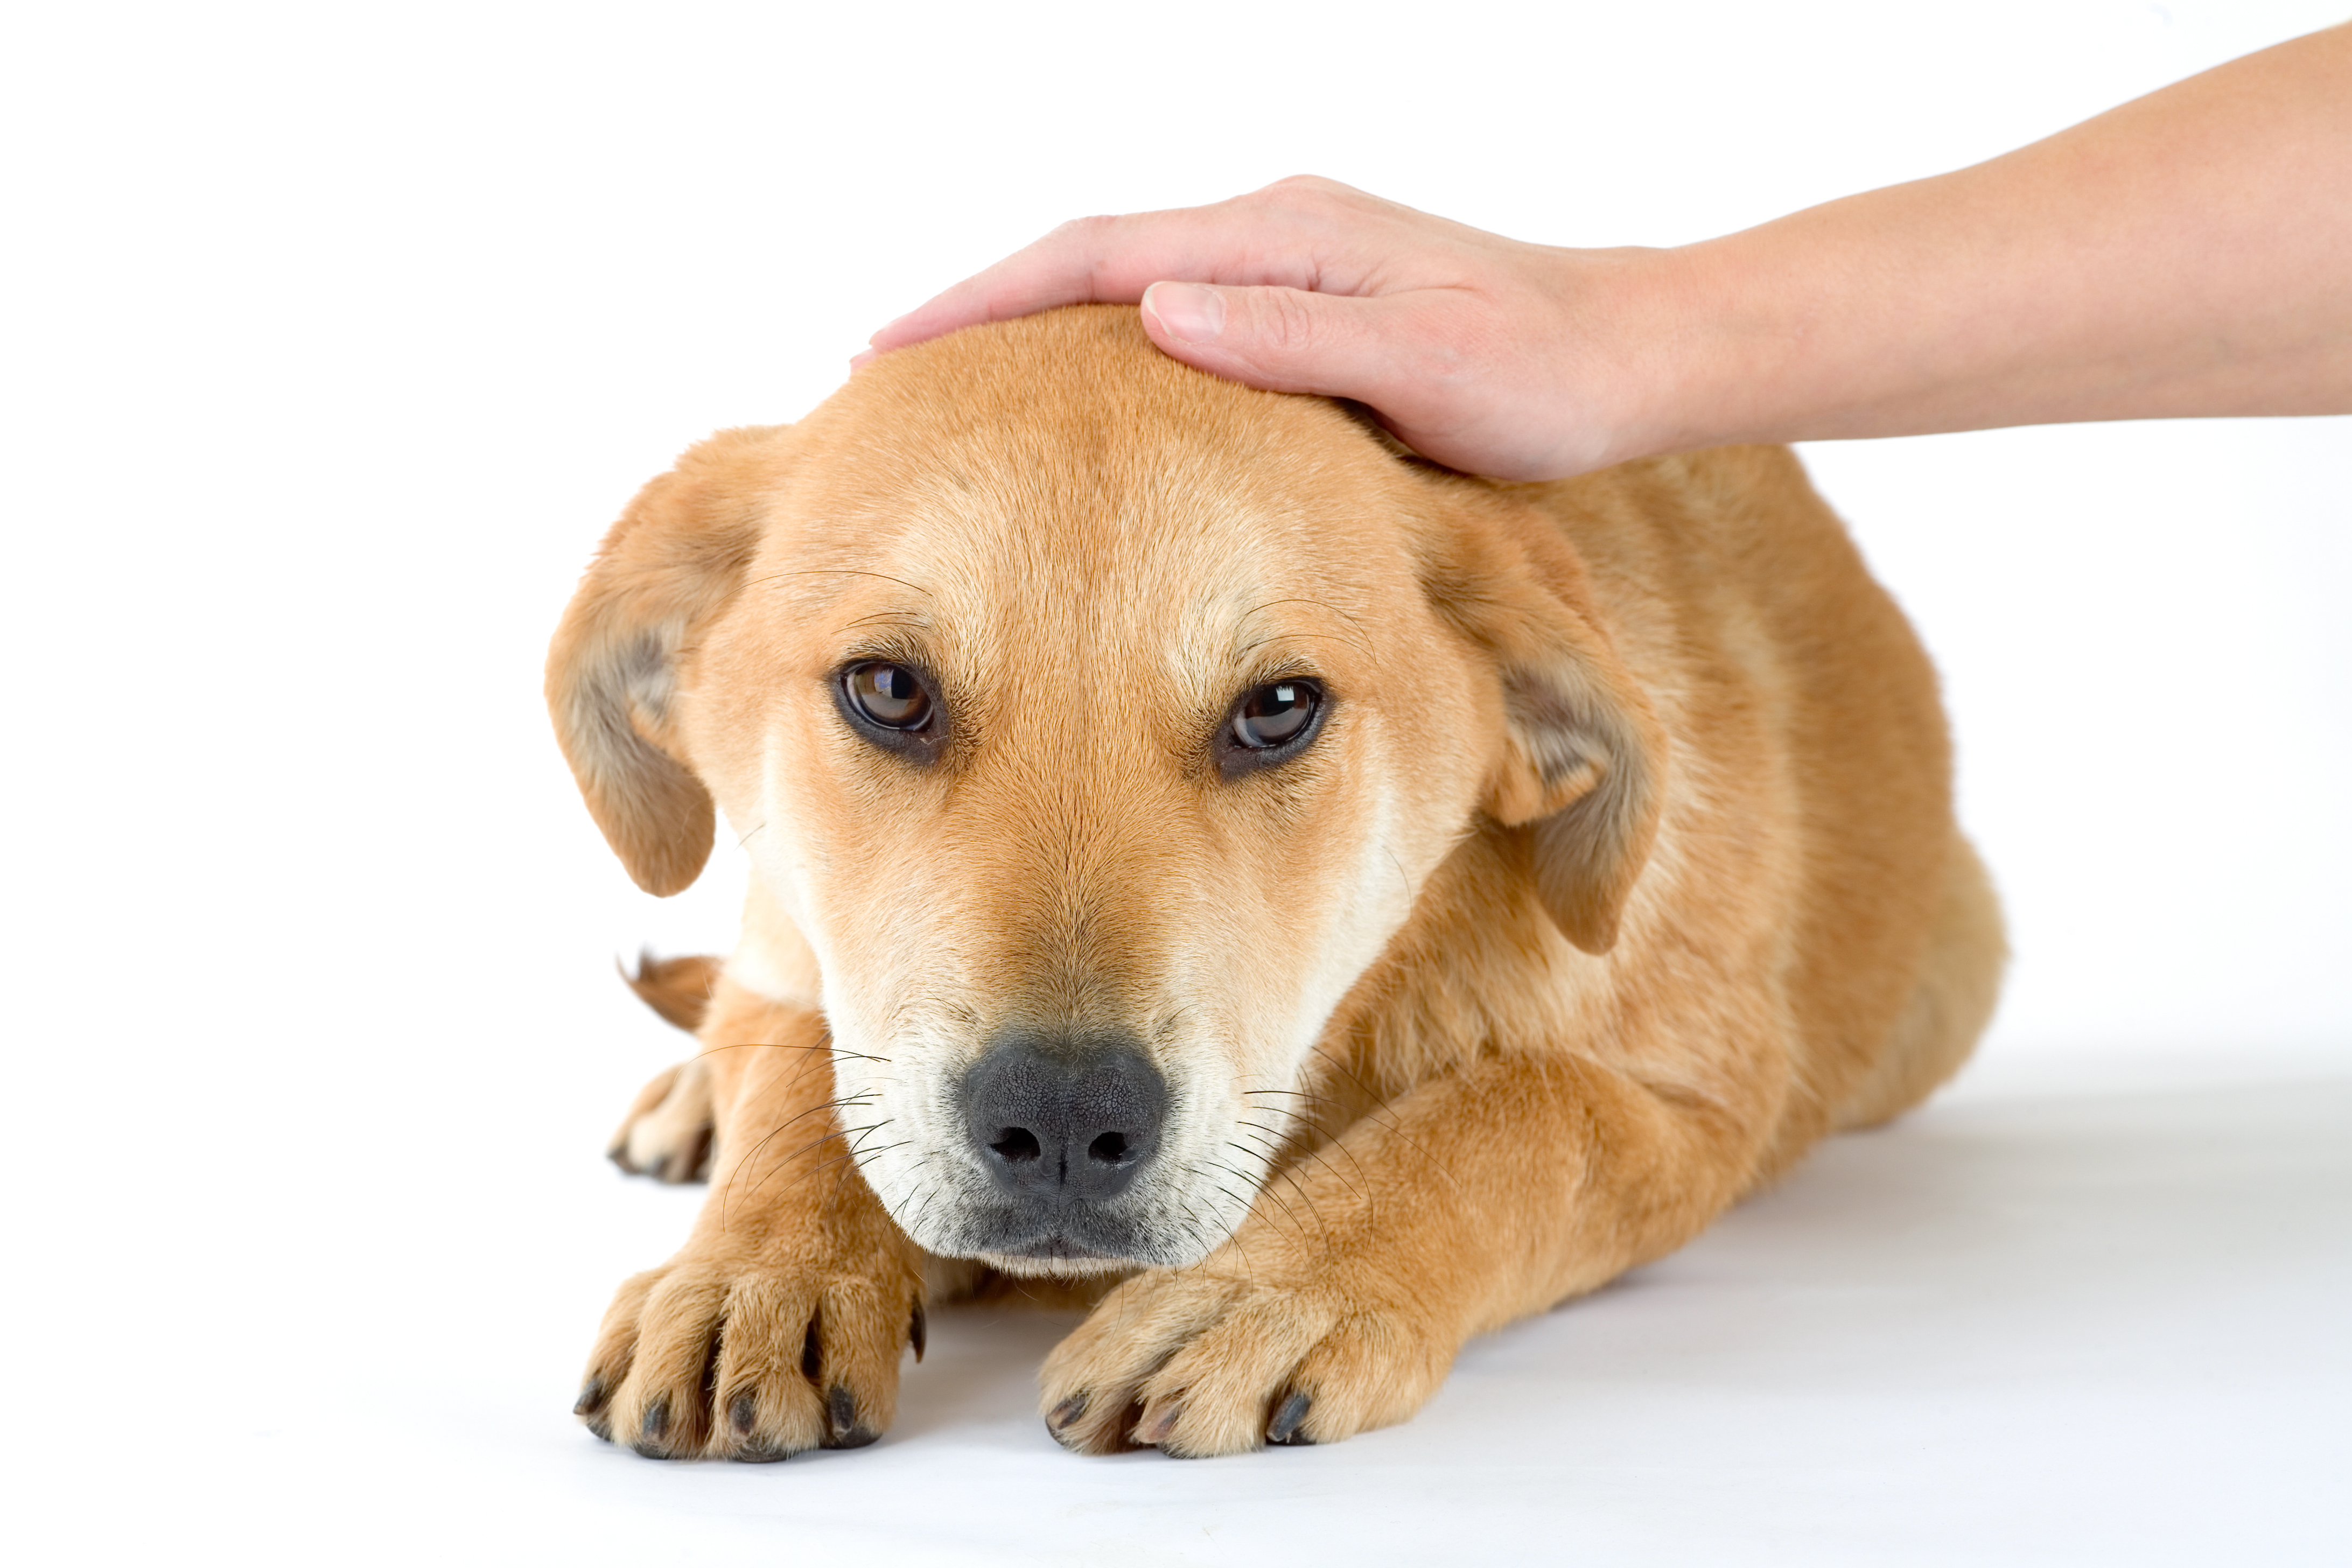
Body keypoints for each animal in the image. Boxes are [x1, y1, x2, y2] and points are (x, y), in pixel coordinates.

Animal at [545, 303, 2004, 1457]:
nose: (1063, 1122)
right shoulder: (814, 962)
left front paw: (1265, 1292)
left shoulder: (1709, 1104)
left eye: (1280, 709)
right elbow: (807, 1074)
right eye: (889, 689)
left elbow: (1532, 1107)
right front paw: (754, 1271)